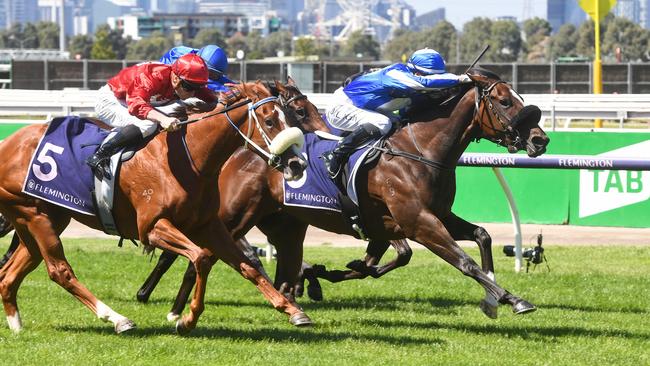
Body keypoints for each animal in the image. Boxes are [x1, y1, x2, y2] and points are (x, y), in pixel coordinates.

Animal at [0, 81, 312, 334]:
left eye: (291, 117)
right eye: (270, 121)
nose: (297, 165)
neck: (189, 158)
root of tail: (8, 143)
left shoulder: (207, 225)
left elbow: (247, 266)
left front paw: (293, 310)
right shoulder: (152, 227)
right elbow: (200, 258)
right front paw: (187, 319)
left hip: (47, 217)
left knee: (12, 273)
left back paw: (16, 325)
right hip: (35, 215)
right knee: (59, 270)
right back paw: (118, 319)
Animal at [137, 69, 548, 320]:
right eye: (505, 100)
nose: (540, 140)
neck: (420, 150)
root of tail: (243, 149)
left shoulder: (434, 215)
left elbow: (482, 235)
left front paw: (495, 297)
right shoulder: (417, 221)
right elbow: (464, 262)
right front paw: (513, 299)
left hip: (283, 222)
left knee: (268, 260)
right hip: (236, 214)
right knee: (199, 249)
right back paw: (172, 304)